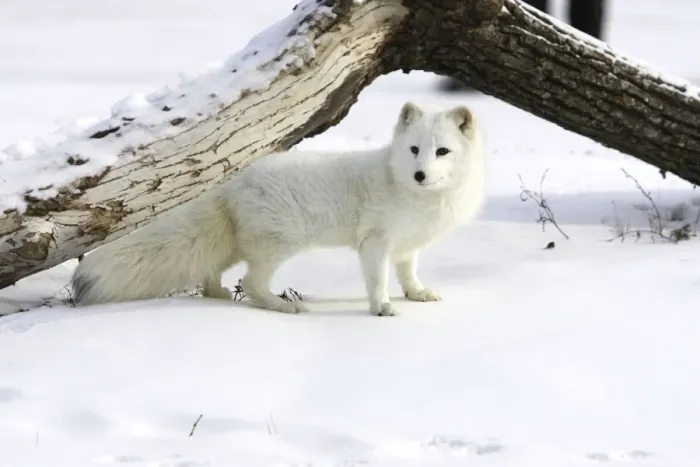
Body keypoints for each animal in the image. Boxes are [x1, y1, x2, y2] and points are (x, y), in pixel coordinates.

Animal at [71, 101, 486, 316]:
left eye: (442, 151)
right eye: (414, 149)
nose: (420, 174)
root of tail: (233, 183)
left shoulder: (407, 244)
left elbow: (408, 273)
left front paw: (417, 294)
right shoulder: (375, 242)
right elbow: (378, 279)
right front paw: (382, 308)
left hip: (241, 244)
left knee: (211, 271)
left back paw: (218, 296)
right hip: (280, 243)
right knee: (253, 283)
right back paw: (285, 308)